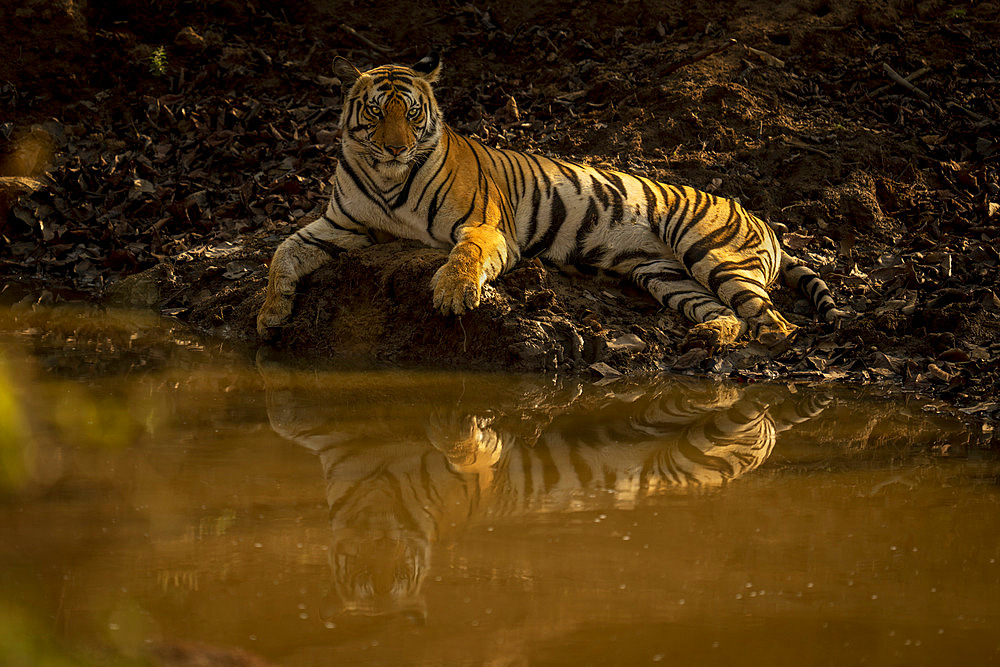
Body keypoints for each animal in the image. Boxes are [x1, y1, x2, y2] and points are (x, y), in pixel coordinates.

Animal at [256, 53, 844, 350]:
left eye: (413, 112)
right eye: (377, 112)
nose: (398, 147)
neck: (385, 177)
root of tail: (760, 216)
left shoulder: (486, 225)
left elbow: (464, 255)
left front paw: (452, 294)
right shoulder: (342, 225)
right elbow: (283, 252)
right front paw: (270, 315)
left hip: (708, 251)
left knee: (774, 321)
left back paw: (758, 344)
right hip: (662, 274)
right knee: (726, 313)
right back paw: (709, 337)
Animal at [262, 368, 832, 620]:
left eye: (400, 575)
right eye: (363, 577)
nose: (382, 581)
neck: (377, 506)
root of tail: (764, 446)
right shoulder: (336, 449)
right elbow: (289, 420)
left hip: (697, 445)